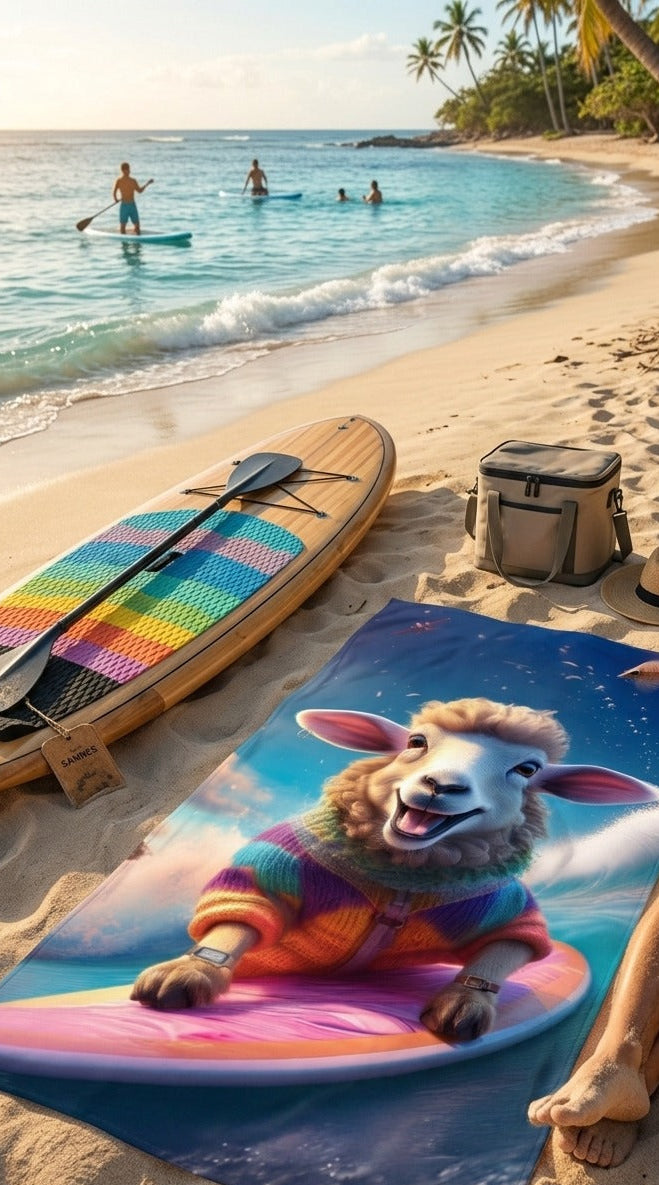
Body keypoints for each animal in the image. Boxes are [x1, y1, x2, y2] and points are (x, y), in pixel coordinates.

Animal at [131, 697, 656, 1043]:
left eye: (527, 770)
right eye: (416, 742)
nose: (440, 785)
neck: (403, 875)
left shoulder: (506, 905)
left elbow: (504, 951)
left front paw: (465, 1003)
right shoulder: (276, 865)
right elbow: (238, 919)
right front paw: (188, 971)